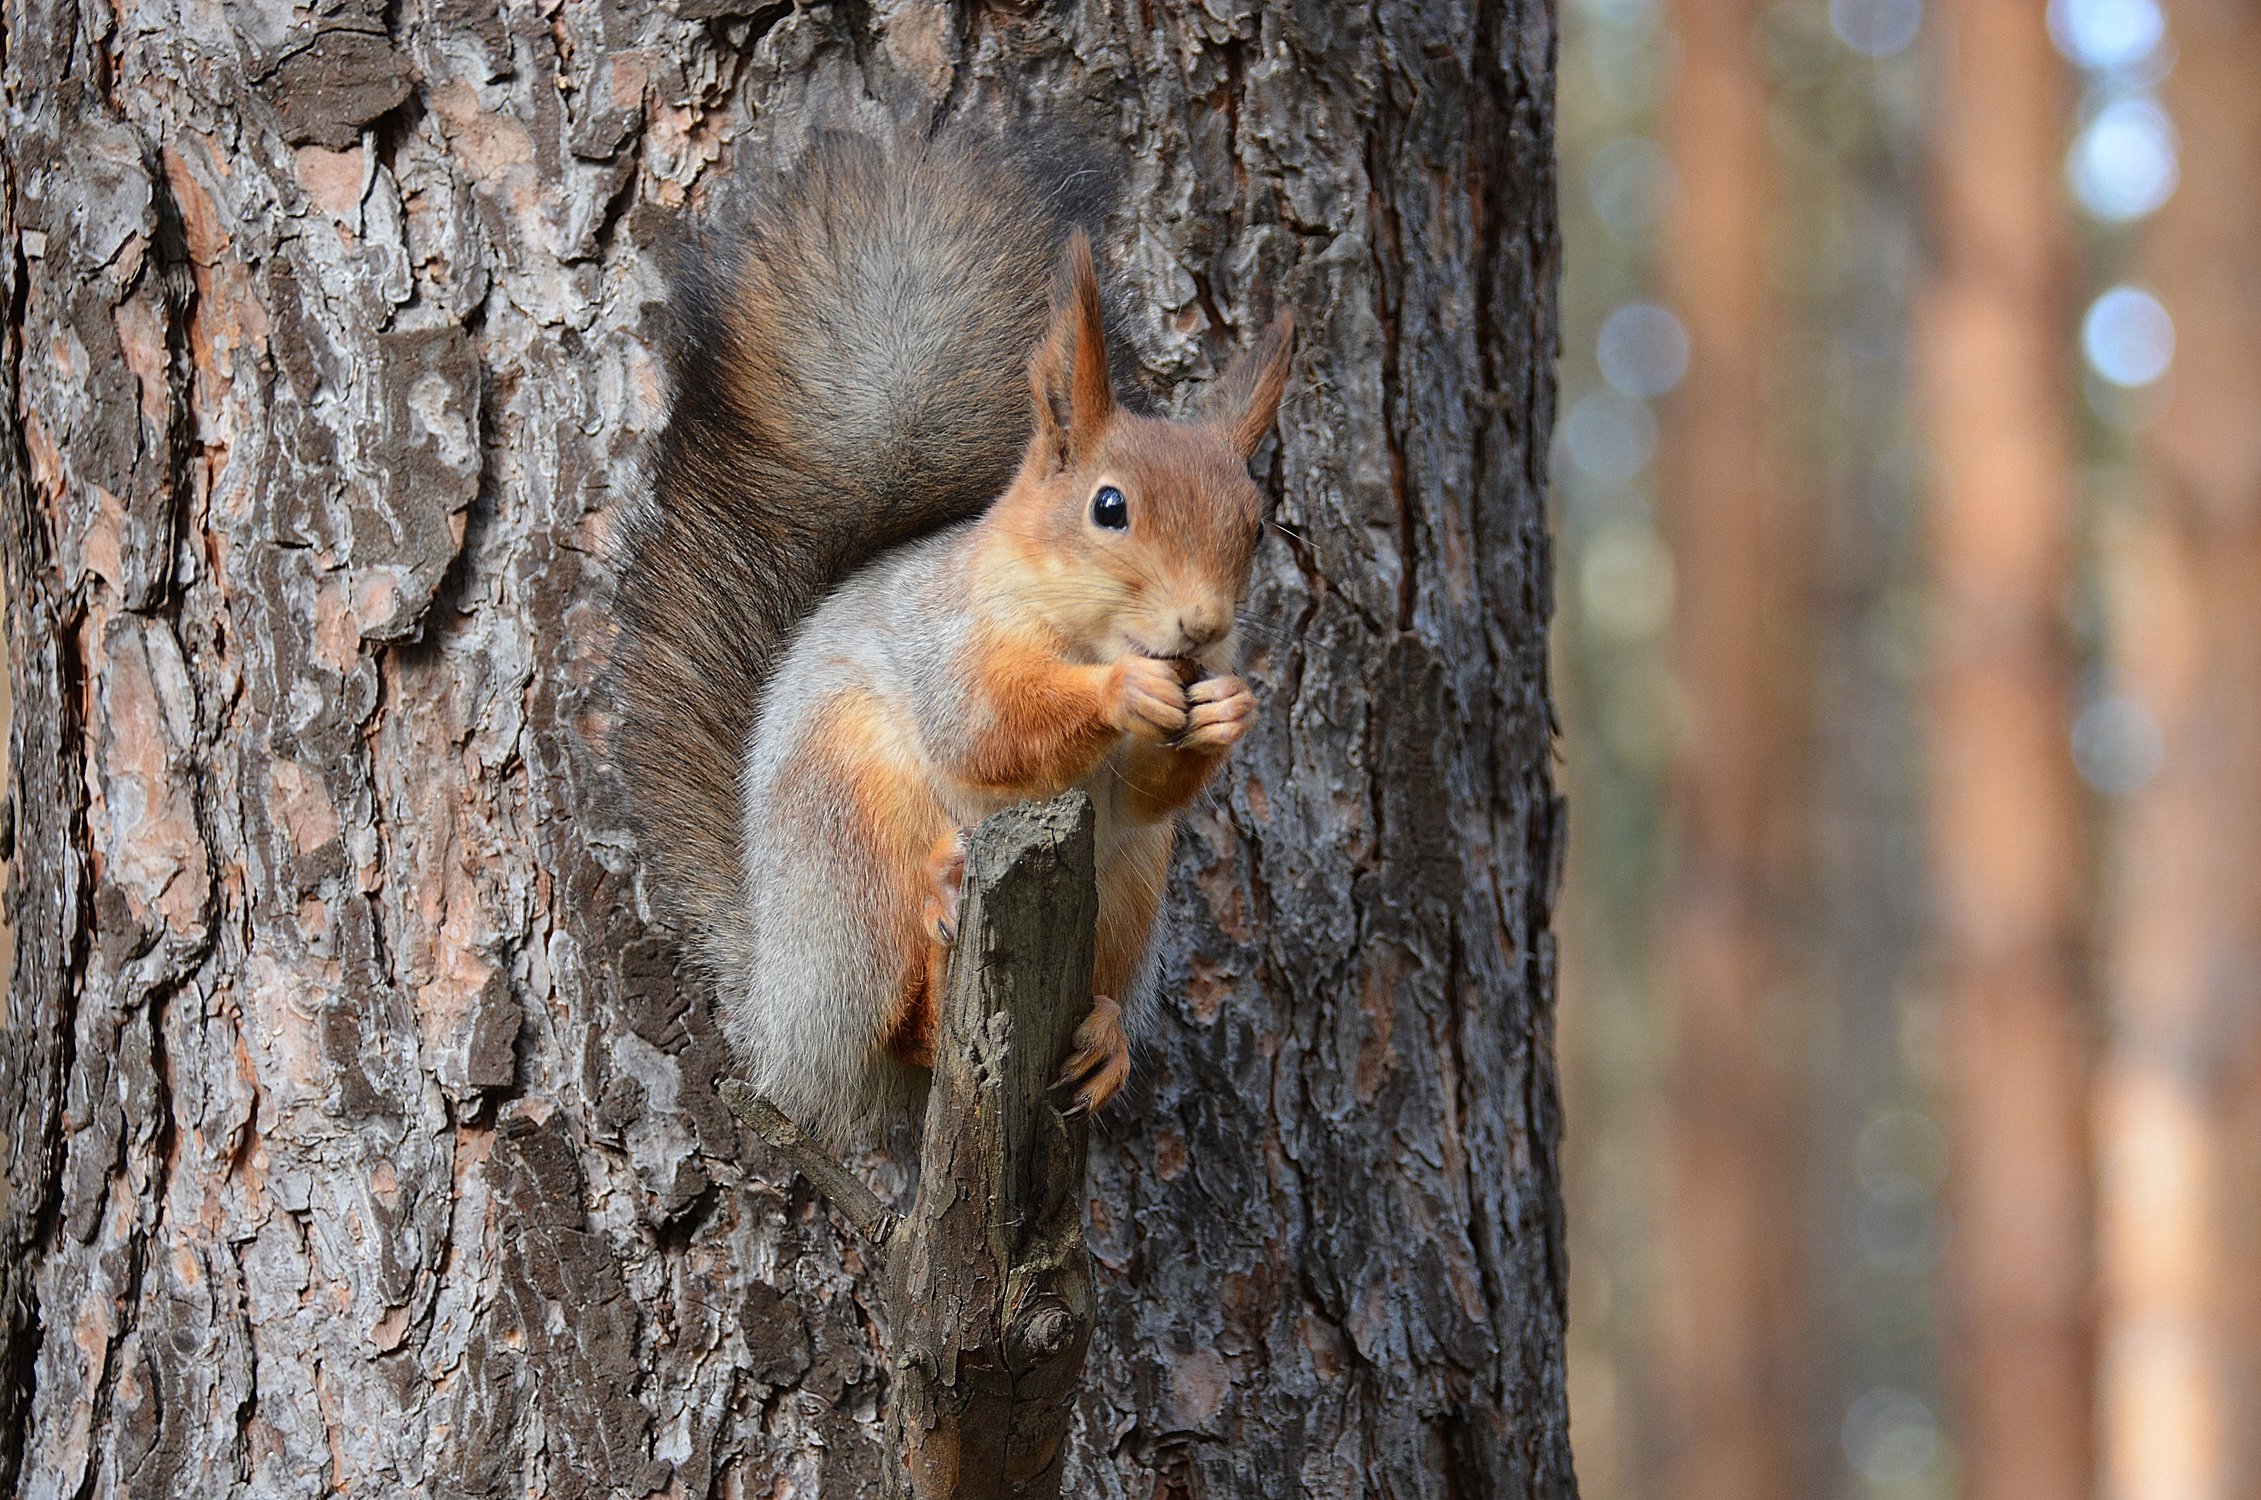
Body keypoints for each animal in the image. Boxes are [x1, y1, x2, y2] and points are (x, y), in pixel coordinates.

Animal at [614, 135, 1293, 1144]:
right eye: (1109, 507)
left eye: (1253, 526)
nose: (1202, 626)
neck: (1082, 627)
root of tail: (779, 1013)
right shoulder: (949, 638)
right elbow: (984, 730)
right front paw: (1121, 691)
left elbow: (1150, 790)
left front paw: (1228, 709)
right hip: (847, 821)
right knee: (897, 1024)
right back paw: (937, 912)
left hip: (1133, 881)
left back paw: (1103, 1039)